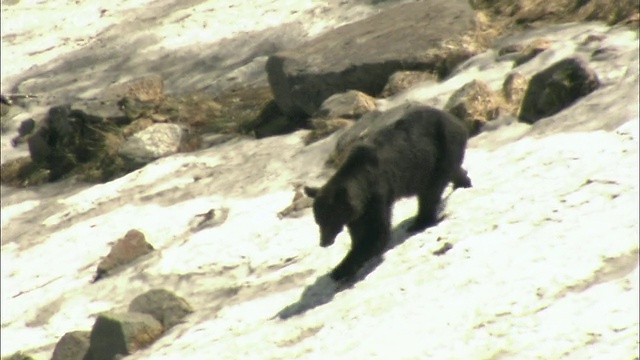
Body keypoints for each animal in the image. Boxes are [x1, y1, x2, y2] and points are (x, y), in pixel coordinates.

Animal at [304, 105, 470, 282]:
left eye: (329, 219)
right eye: (318, 221)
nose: (324, 242)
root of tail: (456, 121)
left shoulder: (377, 194)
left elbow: (377, 232)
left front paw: (341, 269)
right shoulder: (358, 212)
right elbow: (359, 232)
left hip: (439, 151)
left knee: (430, 191)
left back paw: (420, 221)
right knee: (450, 174)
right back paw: (463, 183)